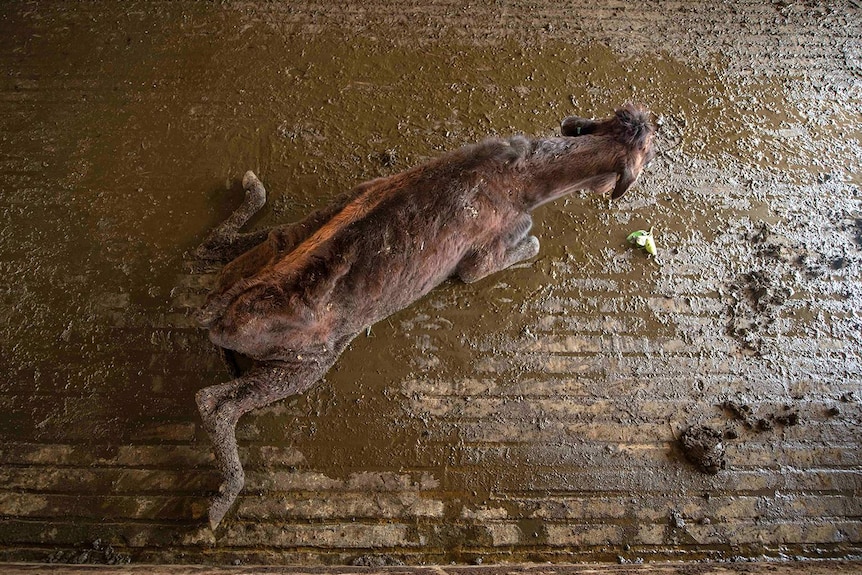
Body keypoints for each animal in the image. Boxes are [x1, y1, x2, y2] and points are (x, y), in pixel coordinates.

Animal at [194, 104, 656, 532]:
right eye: (649, 153)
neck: (525, 177)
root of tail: (221, 310)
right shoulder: (481, 259)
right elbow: (527, 246)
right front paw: (532, 241)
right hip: (305, 363)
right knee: (212, 402)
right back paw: (225, 495)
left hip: (271, 248)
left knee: (218, 247)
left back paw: (253, 193)